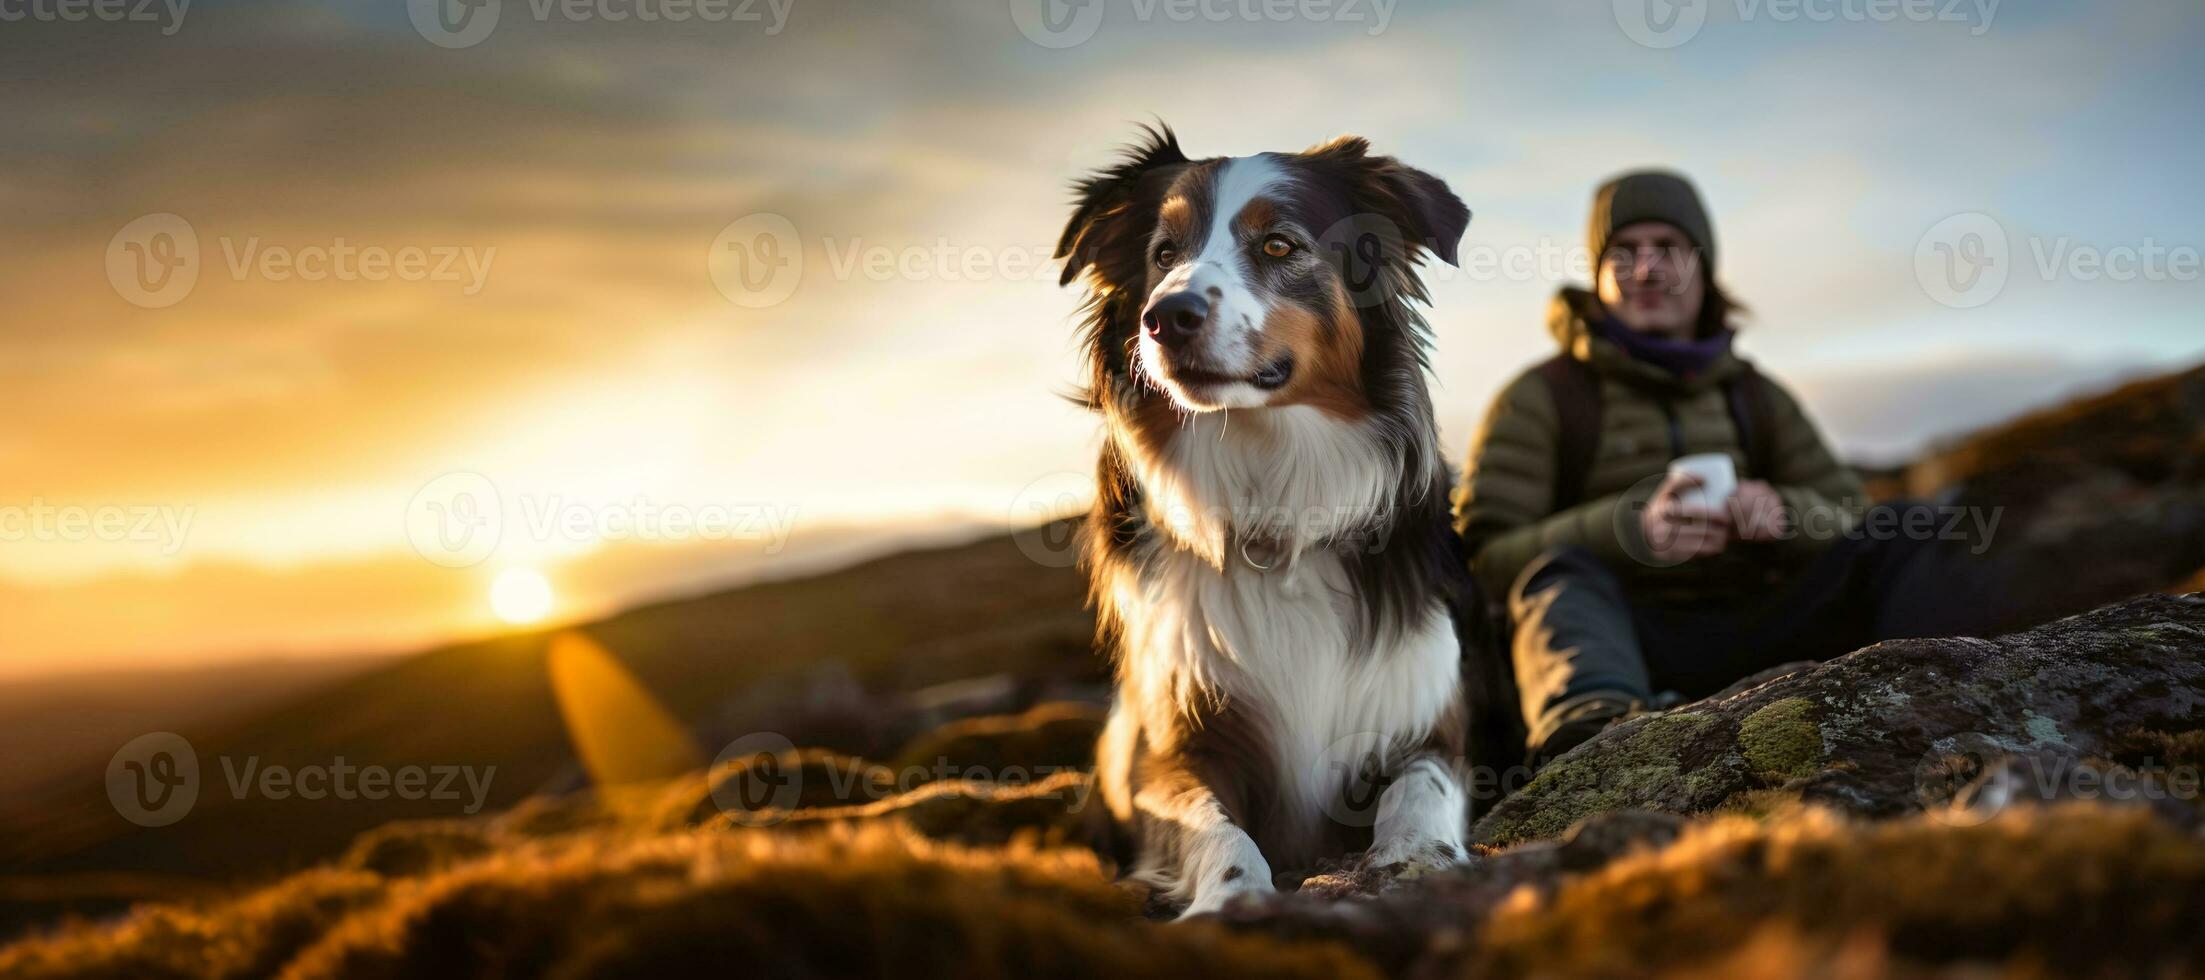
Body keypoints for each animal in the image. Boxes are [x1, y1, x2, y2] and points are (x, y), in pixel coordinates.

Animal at [1049, 126, 1481, 913]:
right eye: (1164, 253)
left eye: (1279, 245)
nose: (1166, 317)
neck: (1272, 509)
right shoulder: (1169, 747)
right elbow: (1211, 825)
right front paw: (1233, 896)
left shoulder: (1429, 716)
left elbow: (1419, 785)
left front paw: (1415, 855)